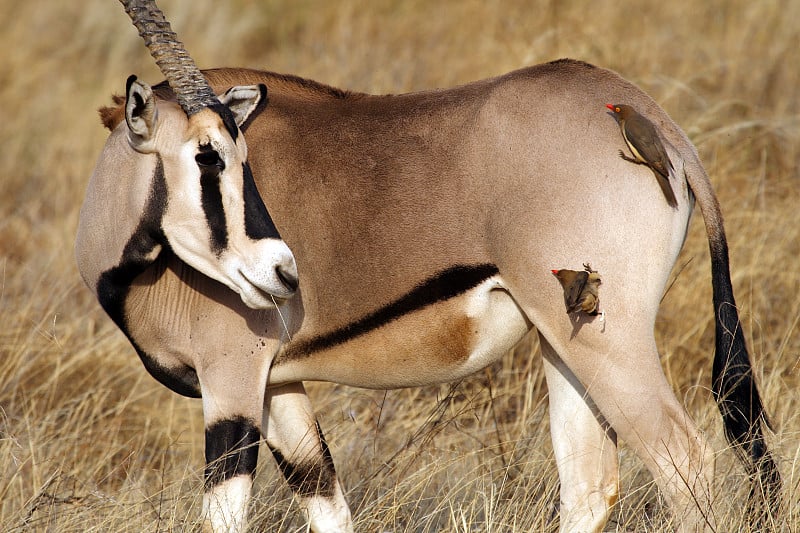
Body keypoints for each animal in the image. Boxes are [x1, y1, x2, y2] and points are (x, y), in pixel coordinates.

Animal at [76, 1, 780, 532]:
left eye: (229, 154)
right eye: (206, 155)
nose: (283, 274)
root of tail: (651, 119)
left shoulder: (232, 386)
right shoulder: (278, 389)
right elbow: (330, 507)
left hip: (614, 344)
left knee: (684, 464)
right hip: (564, 339)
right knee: (589, 485)